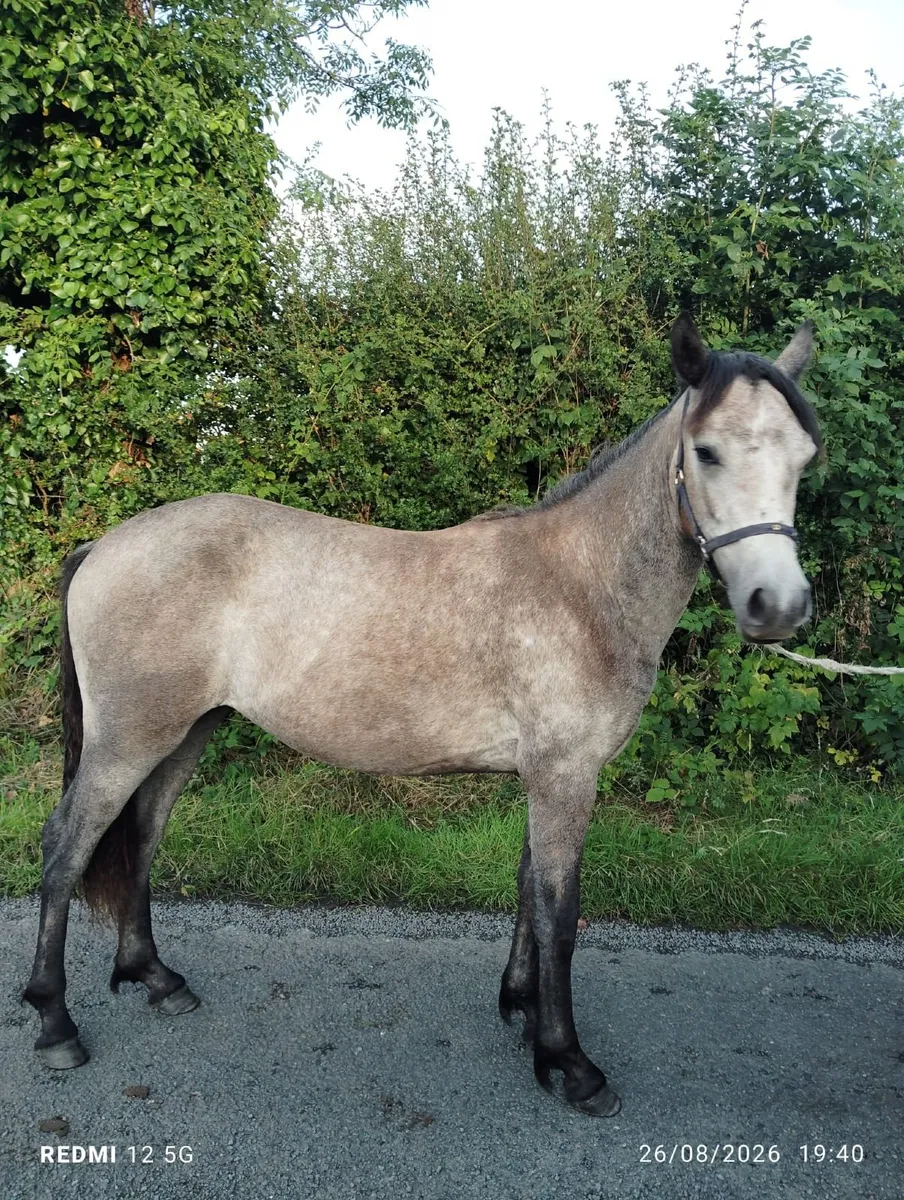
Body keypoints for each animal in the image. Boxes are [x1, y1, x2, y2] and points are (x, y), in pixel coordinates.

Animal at [23, 313, 821, 1117]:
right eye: (707, 451)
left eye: (803, 457)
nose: (777, 607)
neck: (581, 586)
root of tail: (103, 547)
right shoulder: (567, 776)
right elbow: (560, 914)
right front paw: (567, 1062)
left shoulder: (546, 777)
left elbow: (528, 891)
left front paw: (521, 1008)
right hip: (127, 741)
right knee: (66, 847)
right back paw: (56, 1024)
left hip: (185, 733)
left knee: (143, 836)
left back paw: (156, 979)